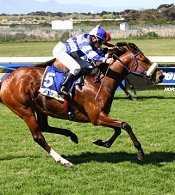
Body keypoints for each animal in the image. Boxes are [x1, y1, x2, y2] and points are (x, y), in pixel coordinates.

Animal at [0, 42, 164, 167]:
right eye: (143, 59)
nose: (160, 76)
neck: (99, 82)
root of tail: (6, 80)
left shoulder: (101, 115)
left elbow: (118, 128)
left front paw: (103, 143)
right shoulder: (96, 117)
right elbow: (125, 125)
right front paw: (140, 153)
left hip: (41, 108)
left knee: (44, 127)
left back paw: (72, 135)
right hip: (24, 110)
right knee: (38, 136)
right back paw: (63, 161)